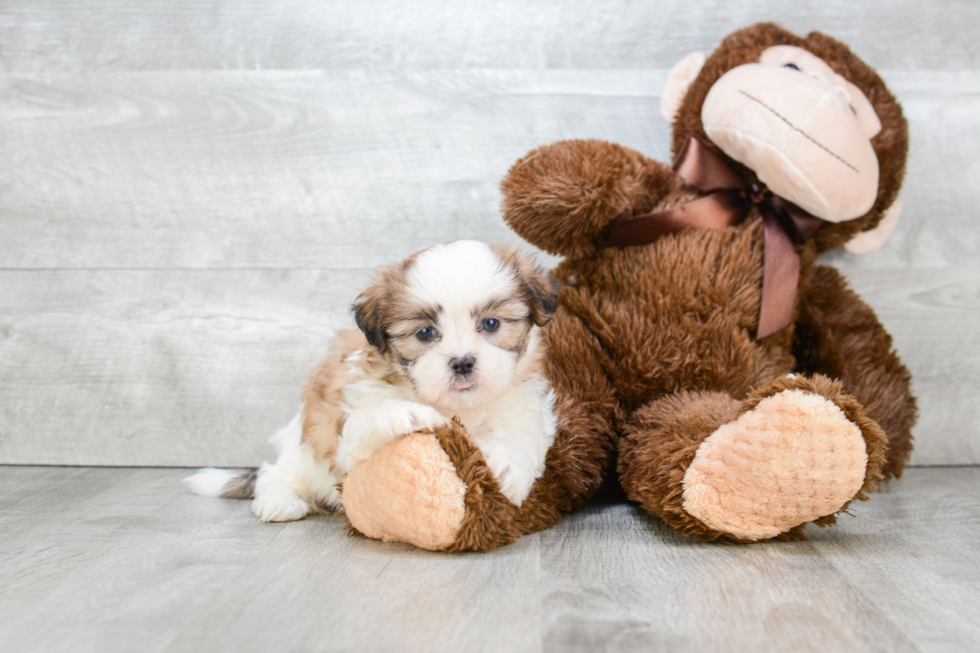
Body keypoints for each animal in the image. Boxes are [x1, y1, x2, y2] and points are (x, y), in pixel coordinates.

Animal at [186, 242, 560, 524]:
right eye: (425, 333)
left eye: (492, 323)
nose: (463, 362)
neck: (457, 406)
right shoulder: (351, 421)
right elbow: (371, 419)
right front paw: (409, 413)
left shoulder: (524, 407)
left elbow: (521, 437)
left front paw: (508, 469)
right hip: (302, 452)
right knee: (273, 475)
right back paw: (281, 501)